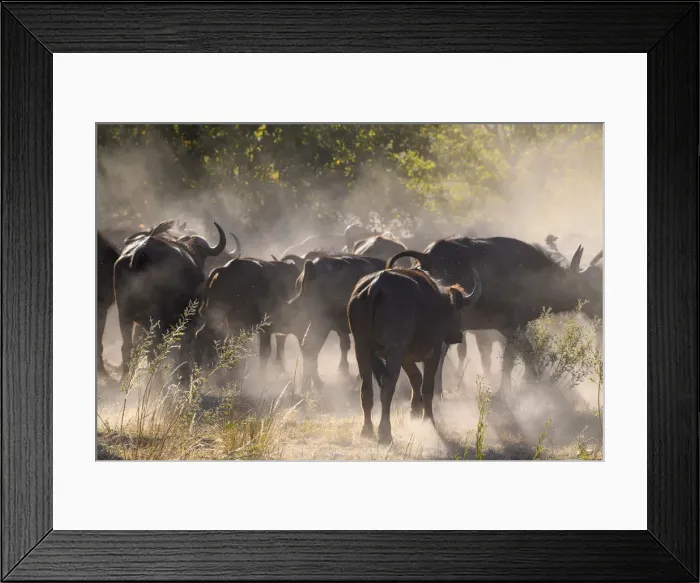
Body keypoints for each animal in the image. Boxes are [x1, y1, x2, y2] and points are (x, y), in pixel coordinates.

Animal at [348, 266, 482, 443]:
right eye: (456, 309)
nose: (458, 336)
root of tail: (376, 285)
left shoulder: (406, 356)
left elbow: (415, 377)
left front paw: (415, 410)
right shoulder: (433, 352)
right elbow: (427, 387)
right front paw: (428, 419)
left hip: (361, 347)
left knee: (366, 389)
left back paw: (367, 430)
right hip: (394, 350)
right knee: (387, 388)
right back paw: (385, 433)